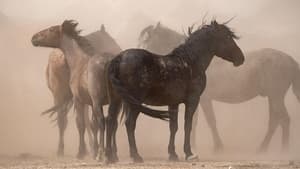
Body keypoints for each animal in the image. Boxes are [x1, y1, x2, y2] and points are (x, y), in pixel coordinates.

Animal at [31, 20, 122, 160]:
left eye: (51, 29)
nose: (33, 38)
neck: (79, 60)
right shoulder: (89, 103)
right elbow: (92, 124)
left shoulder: (79, 100)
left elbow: (81, 124)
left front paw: (81, 152)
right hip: (115, 102)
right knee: (111, 121)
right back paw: (110, 154)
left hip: (96, 101)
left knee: (102, 121)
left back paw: (101, 154)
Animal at [105, 20, 244, 164]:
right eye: (227, 37)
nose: (241, 58)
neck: (189, 61)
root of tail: (118, 59)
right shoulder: (193, 100)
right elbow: (188, 125)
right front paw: (189, 153)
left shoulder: (173, 103)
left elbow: (173, 127)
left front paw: (173, 154)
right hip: (134, 103)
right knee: (129, 124)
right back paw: (136, 156)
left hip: (116, 100)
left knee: (110, 121)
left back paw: (110, 156)